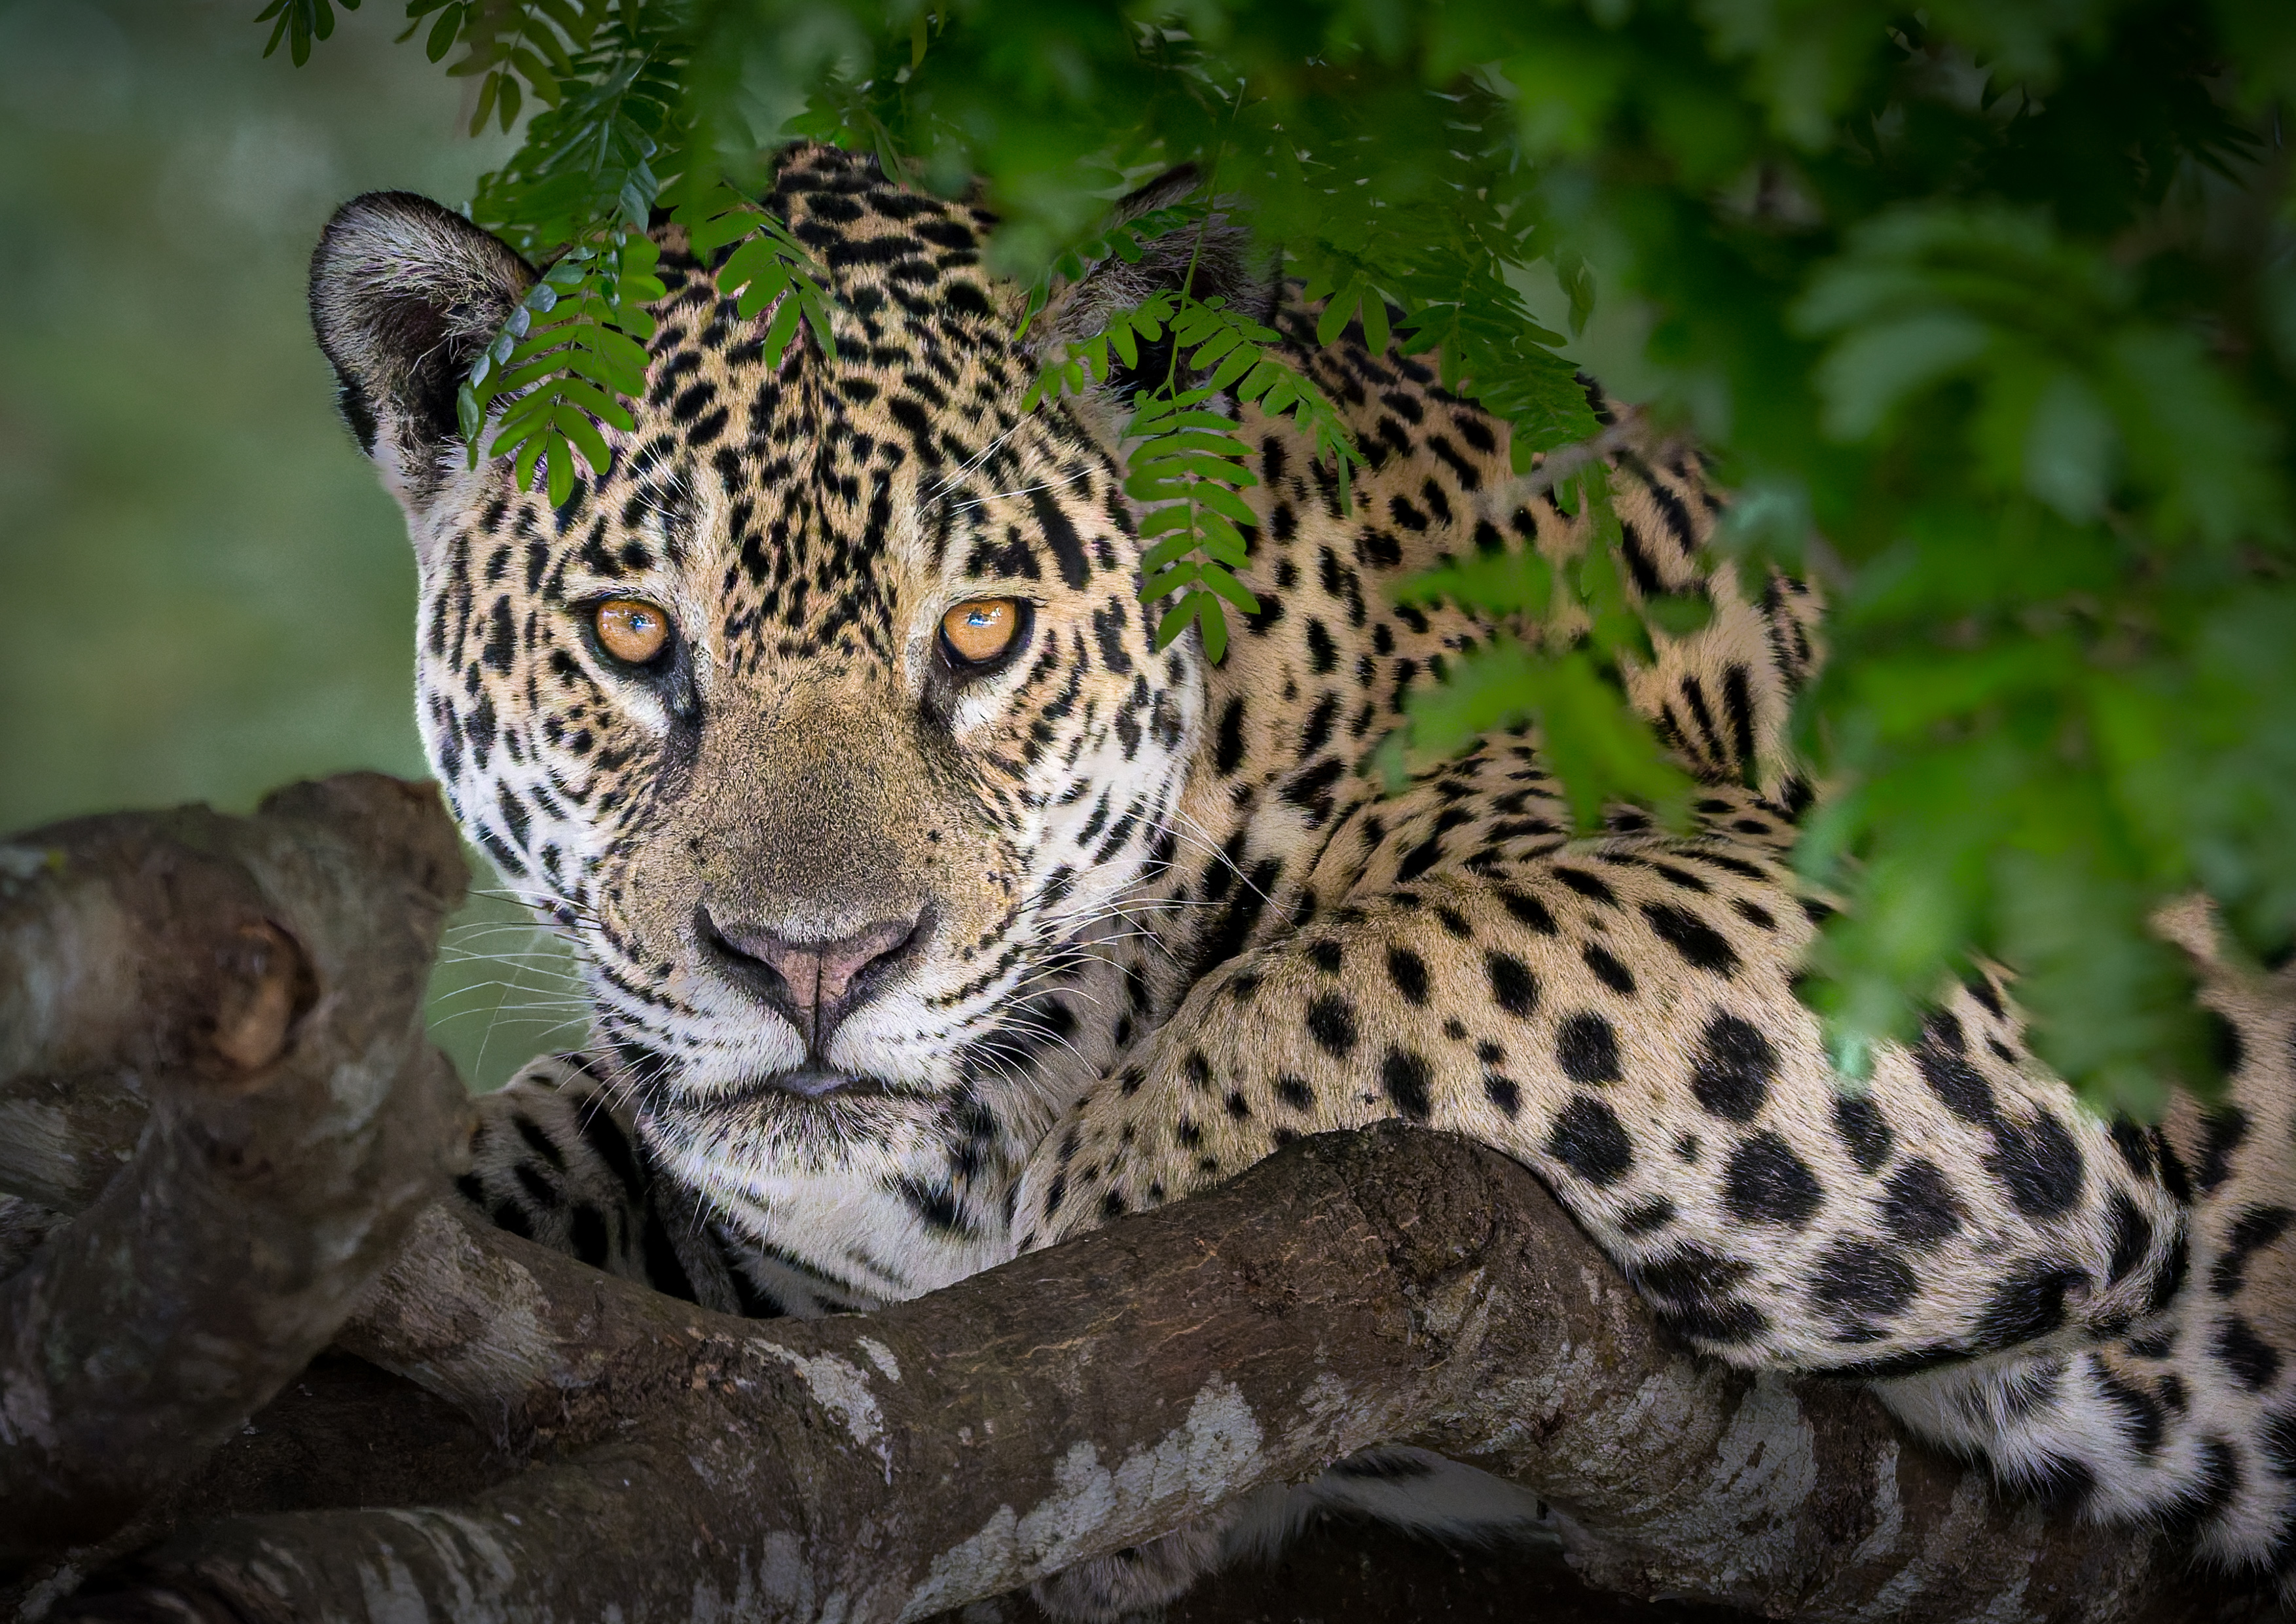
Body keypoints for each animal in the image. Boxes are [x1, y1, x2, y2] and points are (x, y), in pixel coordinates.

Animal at [308, 141, 2296, 1616]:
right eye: (635, 635)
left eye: (984, 631)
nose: (815, 965)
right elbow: (553, 1129)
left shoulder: (1931, 978)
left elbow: (1382, 964)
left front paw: (1094, 1290)